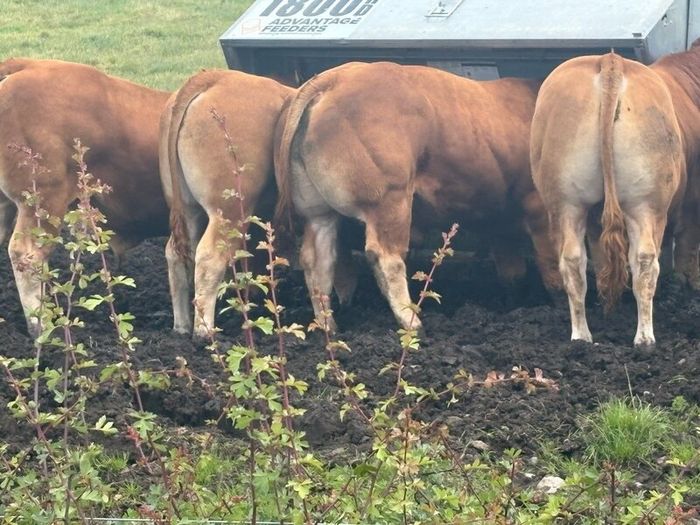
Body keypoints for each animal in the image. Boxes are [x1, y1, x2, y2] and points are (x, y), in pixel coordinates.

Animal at [160, 69, 294, 338]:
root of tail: (214, 77)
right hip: (227, 210)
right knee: (208, 256)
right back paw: (204, 331)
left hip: (187, 208)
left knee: (177, 253)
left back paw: (181, 326)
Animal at [274, 61, 562, 333]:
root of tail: (335, 77)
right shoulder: (539, 210)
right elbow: (552, 268)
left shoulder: (499, 220)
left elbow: (512, 273)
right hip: (390, 199)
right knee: (386, 257)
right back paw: (412, 321)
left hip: (318, 212)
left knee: (317, 261)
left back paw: (329, 327)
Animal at [530, 52, 685, 346]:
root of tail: (609, 61)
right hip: (647, 202)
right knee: (644, 261)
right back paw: (641, 338)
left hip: (567, 202)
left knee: (575, 262)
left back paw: (584, 336)